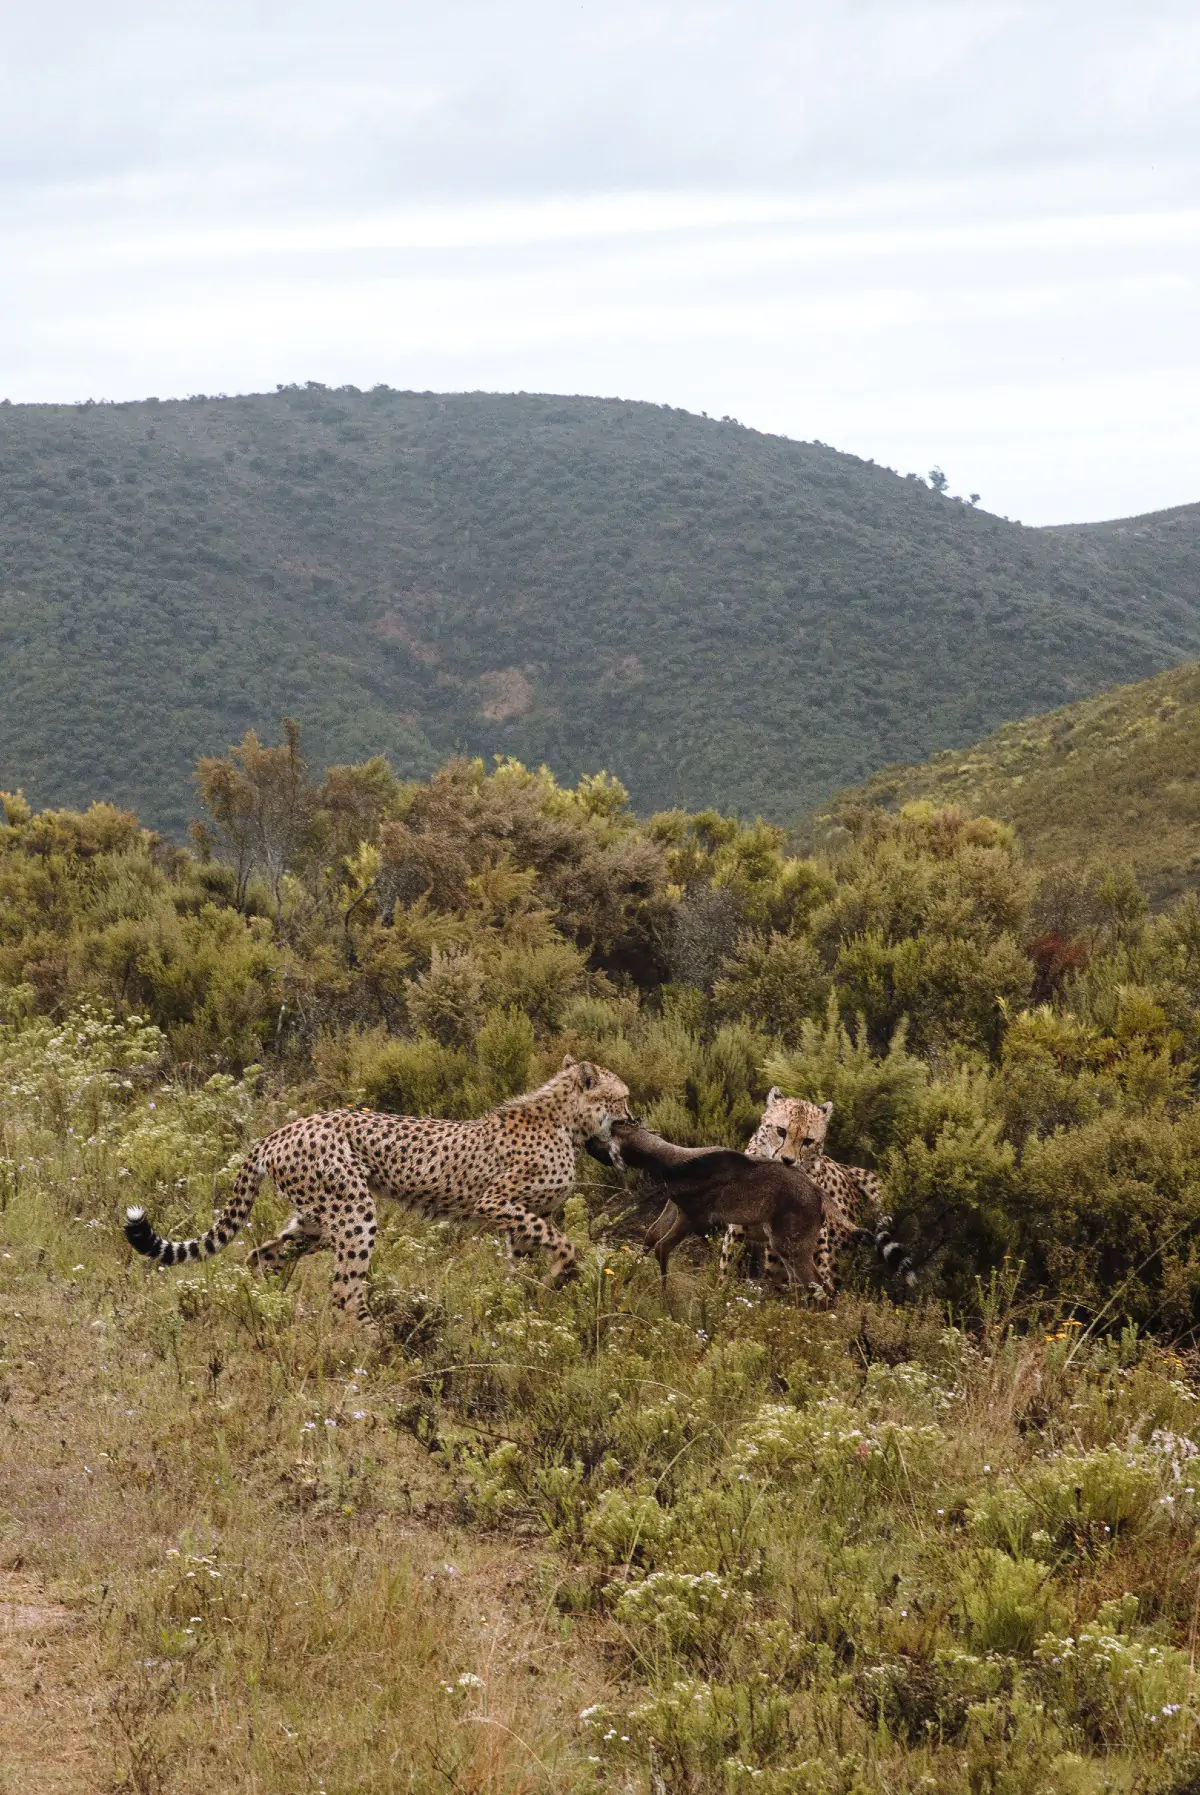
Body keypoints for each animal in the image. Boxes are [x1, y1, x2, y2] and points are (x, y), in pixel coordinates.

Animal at [123, 1048, 634, 1321]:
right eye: (624, 1097)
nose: (634, 1117)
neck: (567, 1123)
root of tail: (281, 1130)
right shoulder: (496, 1201)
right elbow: (563, 1242)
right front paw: (561, 1273)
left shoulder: (523, 1218)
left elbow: (526, 1261)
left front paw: (522, 1305)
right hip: (354, 1211)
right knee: (344, 1293)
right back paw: (378, 1342)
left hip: (316, 1219)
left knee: (261, 1254)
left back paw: (270, 1309)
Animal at [717, 1084, 911, 1299]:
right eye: (781, 1131)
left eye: (807, 1141)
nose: (787, 1160)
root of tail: (843, 1168)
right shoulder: (738, 1230)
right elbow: (728, 1268)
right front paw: (721, 1296)